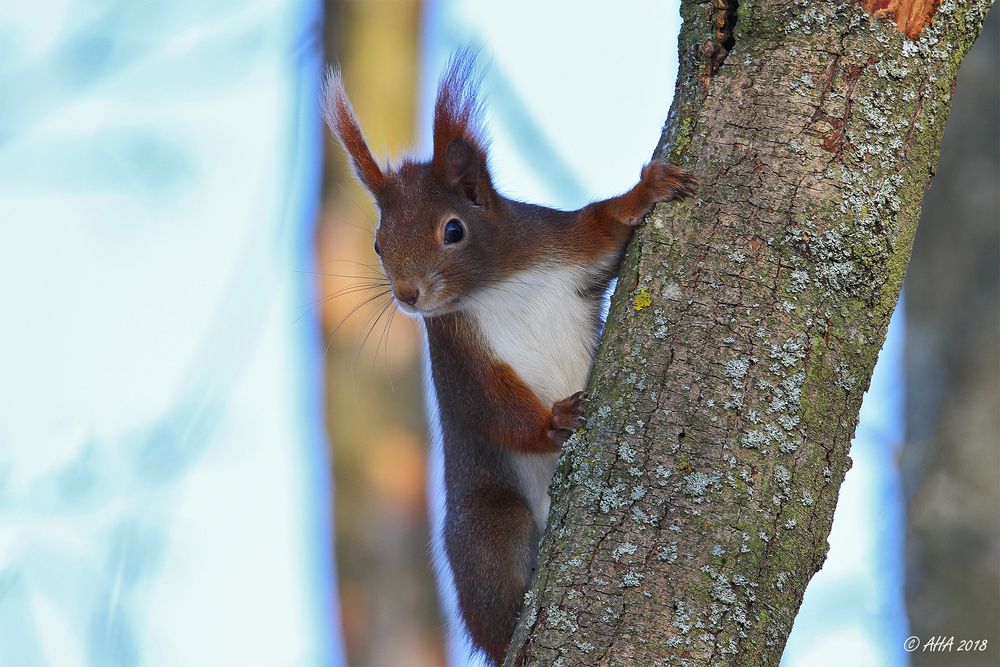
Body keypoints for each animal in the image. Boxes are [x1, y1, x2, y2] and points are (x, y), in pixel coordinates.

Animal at [322, 53, 696, 667]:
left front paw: (647, 190)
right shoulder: (458, 353)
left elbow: (604, 226)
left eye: (453, 230)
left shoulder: (561, 241)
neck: (497, 283)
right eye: (378, 243)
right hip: (489, 528)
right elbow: (490, 405)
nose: (407, 295)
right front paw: (555, 421)